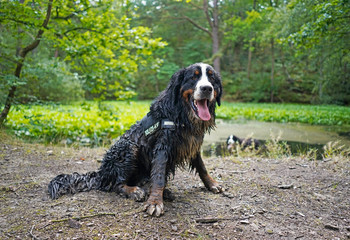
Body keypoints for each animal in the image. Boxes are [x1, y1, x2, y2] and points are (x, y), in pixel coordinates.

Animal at [48, 62, 224, 217]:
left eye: (211, 78)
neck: (182, 115)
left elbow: (202, 167)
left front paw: (212, 184)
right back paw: (134, 191)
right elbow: (158, 177)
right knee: (116, 184)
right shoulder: (162, 147)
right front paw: (155, 202)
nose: (207, 88)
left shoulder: (193, 144)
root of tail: (102, 173)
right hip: (128, 148)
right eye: (193, 77)